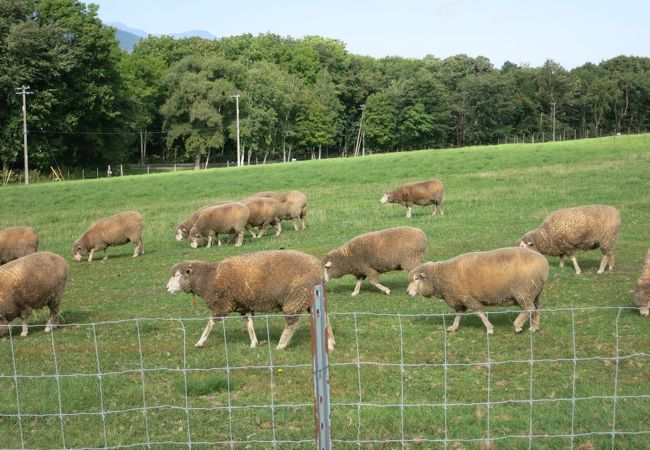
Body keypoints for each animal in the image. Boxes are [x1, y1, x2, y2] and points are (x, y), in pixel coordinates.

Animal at [166, 250, 334, 352]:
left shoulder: (221, 304)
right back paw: (331, 343)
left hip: (296, 298)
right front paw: (254, 343)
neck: (209, 279)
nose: (167, 288)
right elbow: (249, 323)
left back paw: (281, 345)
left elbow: (211, 323)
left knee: (292, 324)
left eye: (178, 275)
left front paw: (200, 342)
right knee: (325, 317)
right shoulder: (244, 304)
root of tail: (320, 269)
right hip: (311, 298)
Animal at [404, 246, 548, 334]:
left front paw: (489, 328)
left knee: (529, 308)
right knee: (536, 307)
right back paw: (534, 327)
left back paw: (518, 325)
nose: (407, 292)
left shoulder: (468, 298)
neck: (441, 276)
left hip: (523, 290)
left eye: (416, 279)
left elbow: (479, 313)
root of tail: (544, 263)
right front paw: (454, 327)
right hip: (533, 292)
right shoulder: (459, 298)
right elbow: (458, 314)